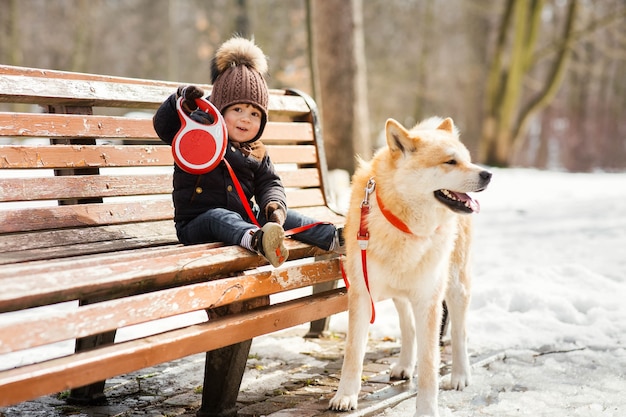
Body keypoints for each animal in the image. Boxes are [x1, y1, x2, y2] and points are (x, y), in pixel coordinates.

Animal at [330, 116, 490, 416]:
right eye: (450, 162)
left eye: (467, 160)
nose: (488, 174)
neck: (404, 225)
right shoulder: (362, 295)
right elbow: (353, 354)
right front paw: (345, 396)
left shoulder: (429, 300)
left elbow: (429, 367)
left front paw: (427, 410)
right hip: (401, 292)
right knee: (408, 327)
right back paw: (405, 365)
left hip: (455, 286)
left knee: (459, 332)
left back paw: (460, 375)